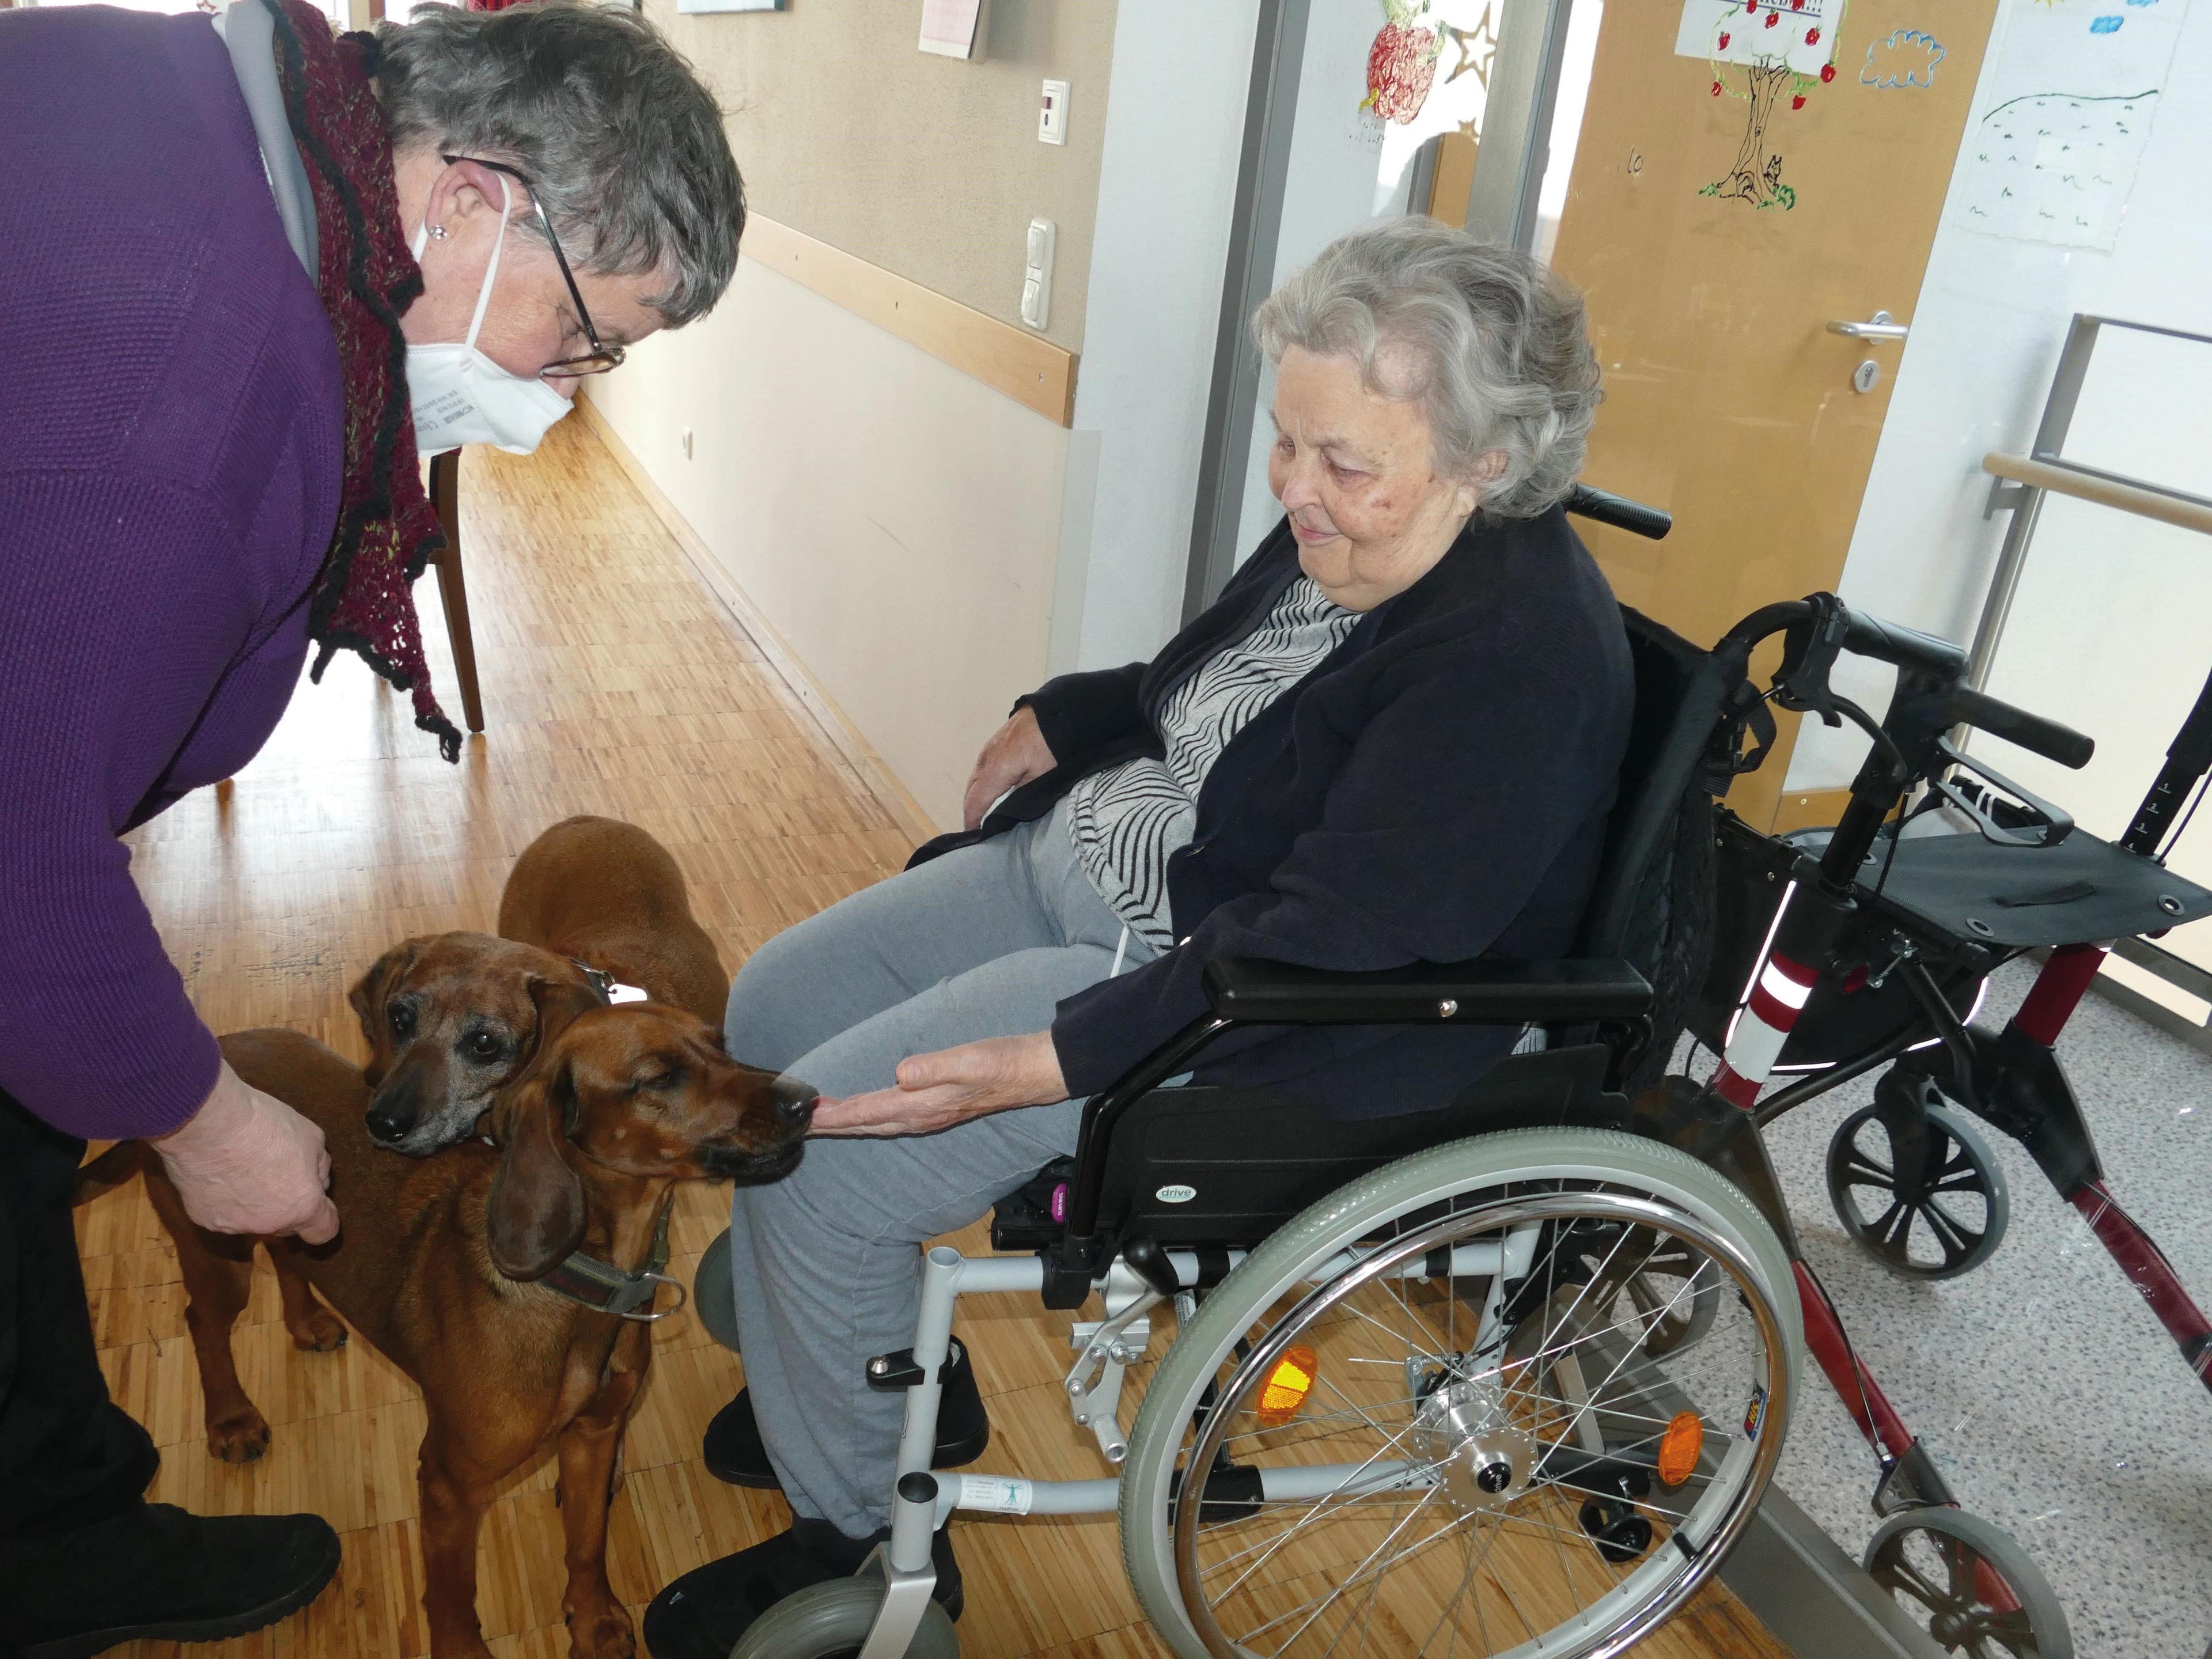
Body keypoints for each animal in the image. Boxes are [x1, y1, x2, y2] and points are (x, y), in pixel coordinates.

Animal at [87, 987, 813, 1659]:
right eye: (660, 1077)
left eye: (720, 1044)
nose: (806, 1099)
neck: (577, 1285)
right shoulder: (449, 1485)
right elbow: (453, 1597)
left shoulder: (594, 1437)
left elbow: (586, 1544)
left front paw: (594, 1620)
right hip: (218, 1255)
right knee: (203, 1324)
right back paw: (231, 1418)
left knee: (290, 1259)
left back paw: (309, 1322)